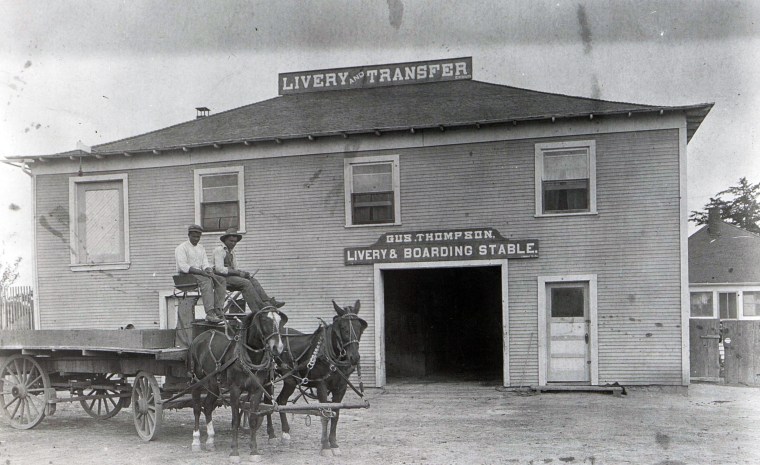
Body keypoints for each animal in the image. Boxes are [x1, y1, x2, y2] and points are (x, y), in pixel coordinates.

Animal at [189, 306, 286, 462]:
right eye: (265, 320)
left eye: (279, 320)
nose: (278, 347)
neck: (248, 357)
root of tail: (199, 338)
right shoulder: (235, 390)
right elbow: (235, 421)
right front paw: (234, 452)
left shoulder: (257, 390)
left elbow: (252, 419)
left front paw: (254, 451)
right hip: (196, 381)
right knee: (197, 408)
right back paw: (196, 440)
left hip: (213, 383)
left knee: (208, 405)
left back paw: (210, 440)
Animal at [266, 300, 366, 454]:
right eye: (343, 327)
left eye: (359, 327)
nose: (354, 357)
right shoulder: (321, 385)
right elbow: (325, 413)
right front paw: (325, 447)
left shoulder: (341, 387)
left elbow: (336, 413)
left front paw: (334, 444)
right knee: (266, 401)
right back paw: (271, 434)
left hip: (290, 381)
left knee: (280, 401)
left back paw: (285, 433)